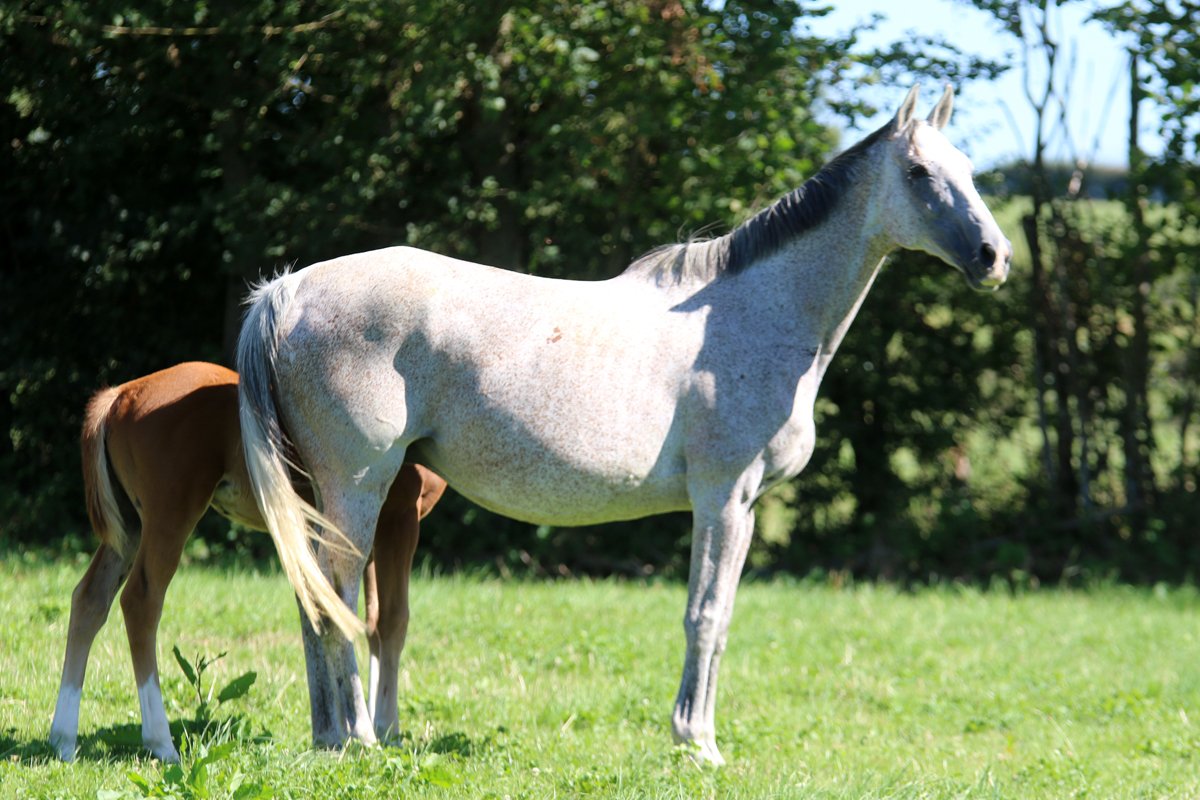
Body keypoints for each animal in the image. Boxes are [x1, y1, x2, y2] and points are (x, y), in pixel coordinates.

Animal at [48, 361, 446, 762]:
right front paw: (385, 729)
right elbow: (391, 621)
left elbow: (364, 621)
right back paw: (161, 742)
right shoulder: (398, 517)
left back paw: (63, 739)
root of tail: (120, 395)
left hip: (129, 526)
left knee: (89, 599)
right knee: (141, 602)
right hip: (169, 517)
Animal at [236, 85, 1011, 764]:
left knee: (311, 598)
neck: (756, 314)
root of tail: (288, 290)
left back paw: (327, 737)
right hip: (357, 486)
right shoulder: (724, 499)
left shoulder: (741, 505)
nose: (994, 258)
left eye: (970, 170)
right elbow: (704, 615)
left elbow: (719, 617)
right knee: (337, 594)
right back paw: (360, 737)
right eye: (918, 172)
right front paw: (698, 744)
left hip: (320, 490)